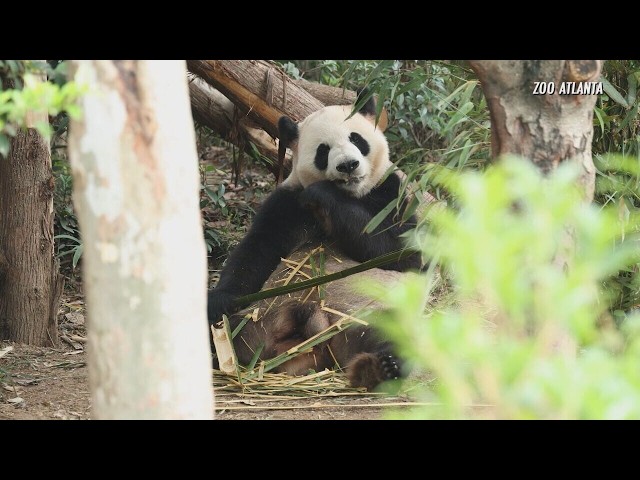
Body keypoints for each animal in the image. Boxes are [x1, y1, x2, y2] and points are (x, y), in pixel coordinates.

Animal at [207, 90, 424, 390]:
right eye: (323, 150)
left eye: (356, 139)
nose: (348, 166)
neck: (352, 194)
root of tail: (313, 321)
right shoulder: (286, 204)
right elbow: (255, 253)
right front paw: (220, 298)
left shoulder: (392, 192)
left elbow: (402, 253)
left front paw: (323, 194)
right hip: (260, 313)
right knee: (225, 327)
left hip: (360, 315)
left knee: (391, 332)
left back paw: (380, 367)